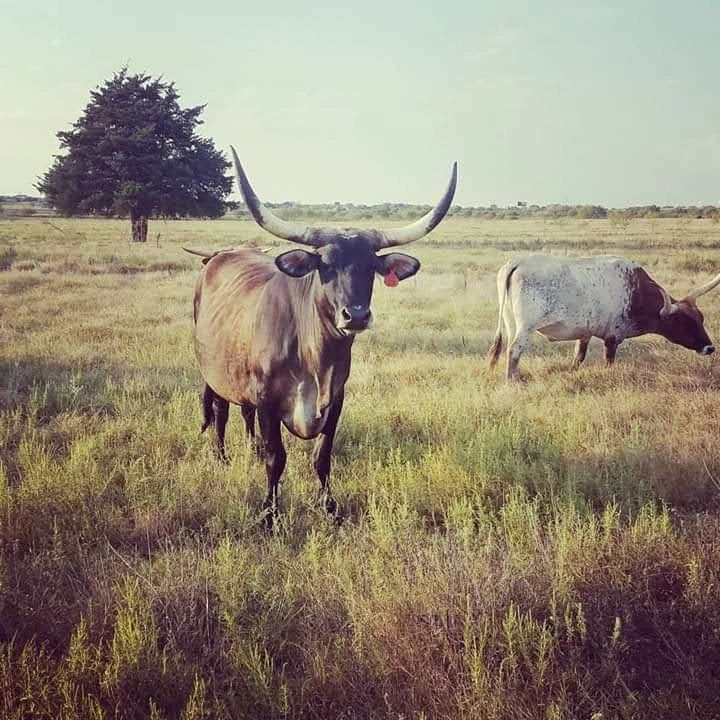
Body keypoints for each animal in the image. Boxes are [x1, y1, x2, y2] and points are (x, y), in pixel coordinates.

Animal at [186, 147, 457, 524]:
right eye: (325, 265)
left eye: (371, 267)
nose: (355, 315)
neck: (315, 359)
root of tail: (221, 254)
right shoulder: (268, 401)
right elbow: (276, 458)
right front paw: (269, 514)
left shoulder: (337, 400)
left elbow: (322, 457)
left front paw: (330, 508)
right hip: (213, 374)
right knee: (221, 412)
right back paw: (222, 457)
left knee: (244, 414)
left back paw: (250, 451)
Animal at [488, 254, 720, 381]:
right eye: (684, 322)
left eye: (701, 319)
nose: (710, 347)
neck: (635, 290)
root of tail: (517, 262)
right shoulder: (612, 337)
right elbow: (609, 361)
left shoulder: (585, 334)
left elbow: (578, 357)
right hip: (525, 328)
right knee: (514, 351)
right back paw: (513, 380)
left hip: (510, 324)